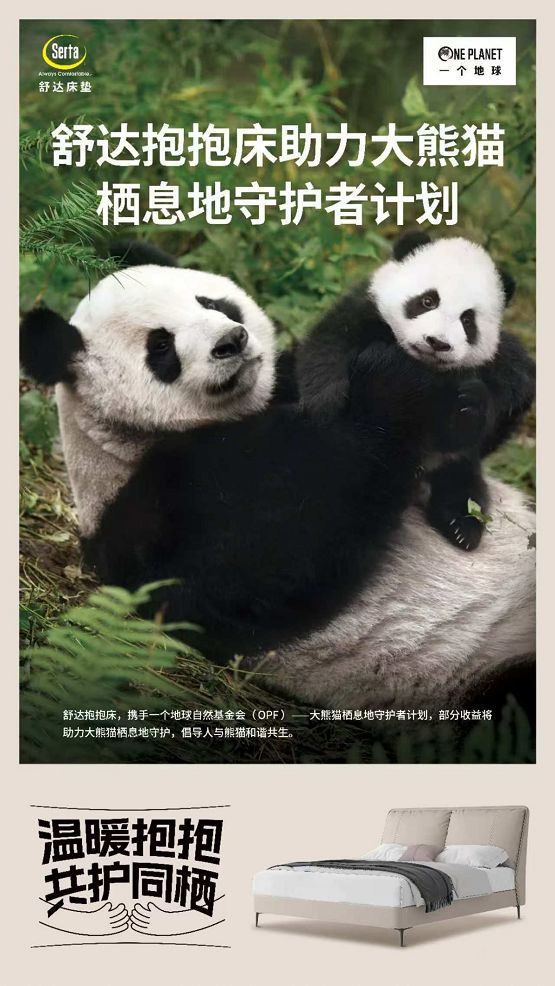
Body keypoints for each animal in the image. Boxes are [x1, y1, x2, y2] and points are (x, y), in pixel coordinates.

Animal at [296, 231, 535, 552]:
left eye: (468, 320)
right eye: (427, 300)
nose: (437, 342)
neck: (421, 365)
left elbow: (470, 425)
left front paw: (469, 403)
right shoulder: (364, 312)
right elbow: (328, 349)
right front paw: (326, 406)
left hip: (452, 467)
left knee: (462, 484)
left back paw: (462, 526)